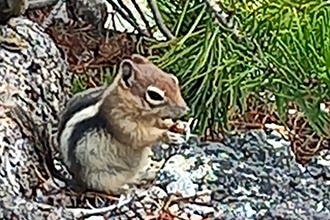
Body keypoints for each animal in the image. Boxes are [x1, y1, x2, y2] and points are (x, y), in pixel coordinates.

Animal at [58, 54, 189, 195]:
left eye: (173, 79)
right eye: (154, 95)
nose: (185, 108)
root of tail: (76, 179)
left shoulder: (152, 120)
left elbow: (160, 123)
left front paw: (176, 125)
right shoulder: (119, 121)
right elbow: (139, 137)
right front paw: (168, 135)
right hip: (100, 175)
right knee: (100, 186)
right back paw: (123, 188)